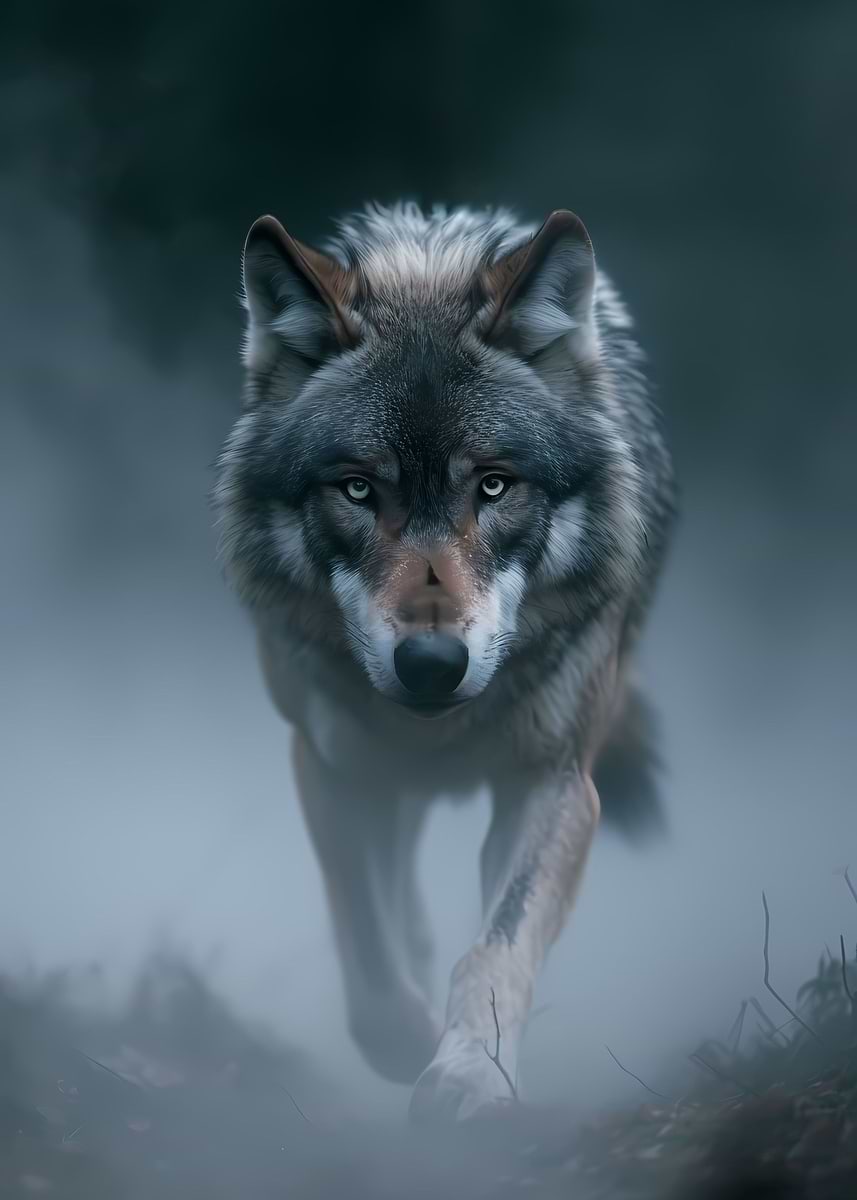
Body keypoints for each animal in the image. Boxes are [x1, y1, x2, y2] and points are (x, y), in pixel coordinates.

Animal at [213, 201, 676, 1121]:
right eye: (358, 489)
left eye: (492, 486)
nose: (431, 662)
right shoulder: (331, 767)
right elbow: (368, 950)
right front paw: (406, 1042)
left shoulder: (553, 783)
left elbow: (495, 949)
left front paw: (469, 1073)